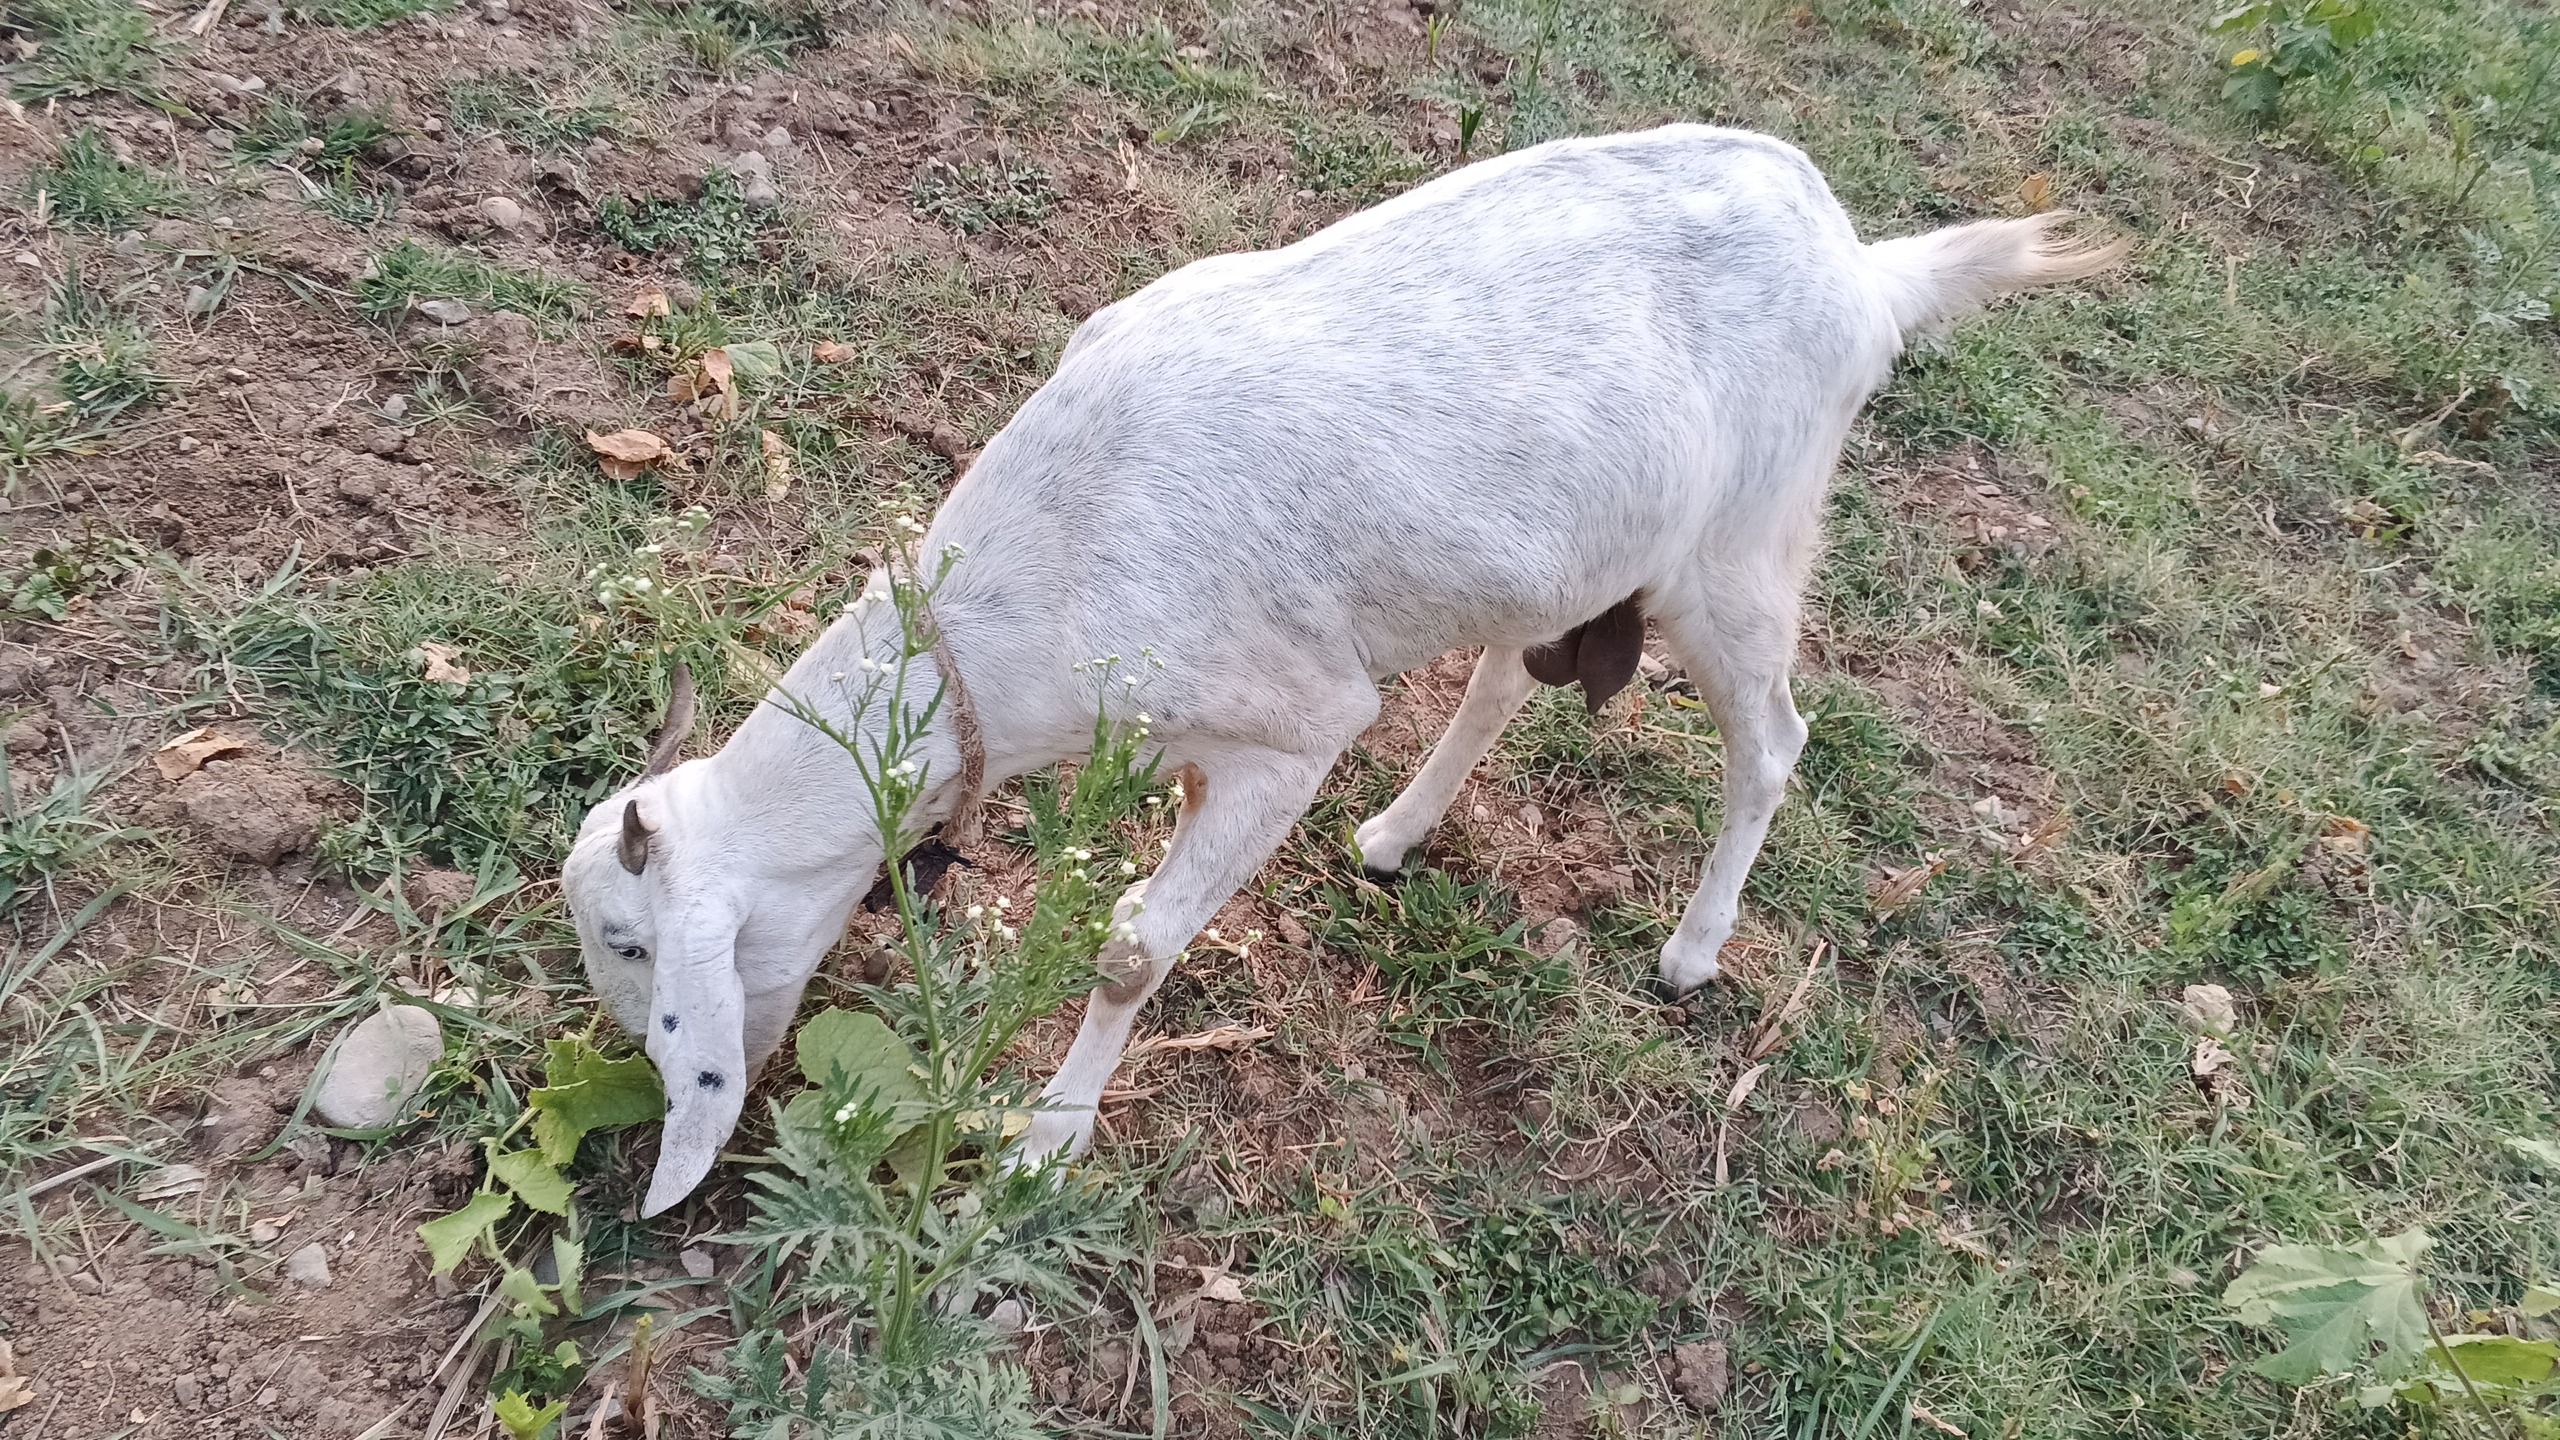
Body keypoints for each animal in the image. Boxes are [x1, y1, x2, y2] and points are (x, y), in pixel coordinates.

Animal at [562, 124, 2124, 1216]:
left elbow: (1132, 949)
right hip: (1574, 553)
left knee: (1776, 738)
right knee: (1505, 678)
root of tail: (1869, 269)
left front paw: (1045, 1145)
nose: (641, 1100)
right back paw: (1397, 834)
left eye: (635, 946)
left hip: (1743, 546)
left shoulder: (1291, 728)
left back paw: (1691, 951)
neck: (1030, 582)